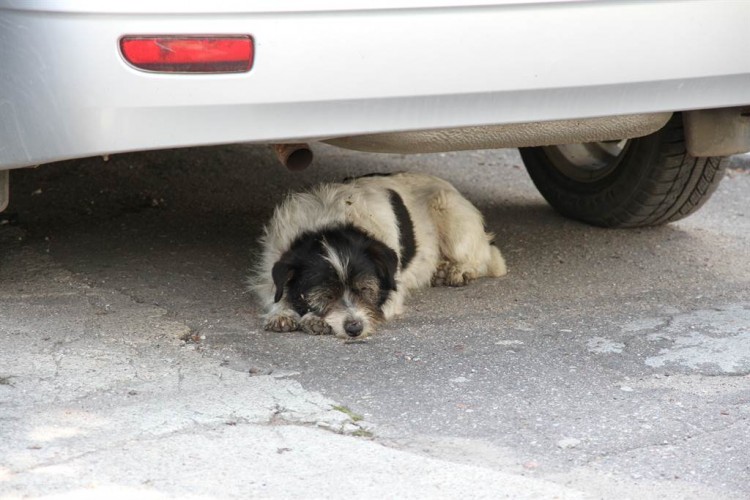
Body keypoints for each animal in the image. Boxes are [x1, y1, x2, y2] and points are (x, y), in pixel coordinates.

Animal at [251, 172, 506, 340]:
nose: (355, 329)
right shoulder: (271, 266)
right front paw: (282, 313)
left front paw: (314, 319)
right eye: (324, 295)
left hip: (449, 213)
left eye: (366, 288)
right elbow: (276, 294)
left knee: (488, 258)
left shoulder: (392, 291)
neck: (329, 222)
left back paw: (457, 269)